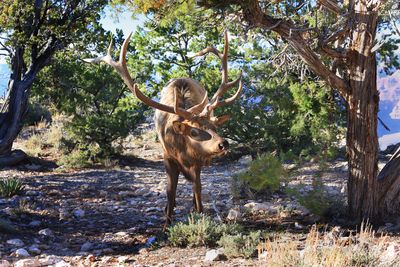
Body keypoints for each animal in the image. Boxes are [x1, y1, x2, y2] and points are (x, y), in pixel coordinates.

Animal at [83, 31, 242, 228]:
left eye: (214, 126)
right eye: (193, 132)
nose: (223, 143)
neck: (181, 149)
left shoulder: (196, 160)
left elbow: (197, 187)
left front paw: (200, 213)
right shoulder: (167, 155)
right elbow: (170, 190)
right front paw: (167, 223)